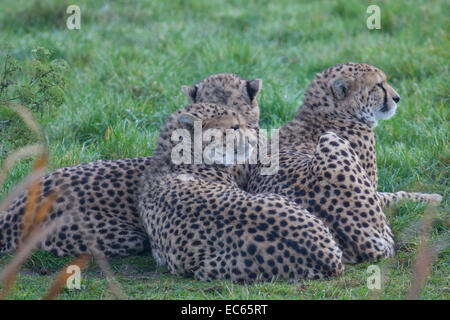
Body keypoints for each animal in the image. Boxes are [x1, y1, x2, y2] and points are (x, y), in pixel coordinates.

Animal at [246, 62, 440, 262]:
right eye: (379, 84)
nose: (397, 98)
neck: (328, 110)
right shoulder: (375, 191)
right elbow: (396, 196)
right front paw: (431, 198)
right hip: (331, 140)